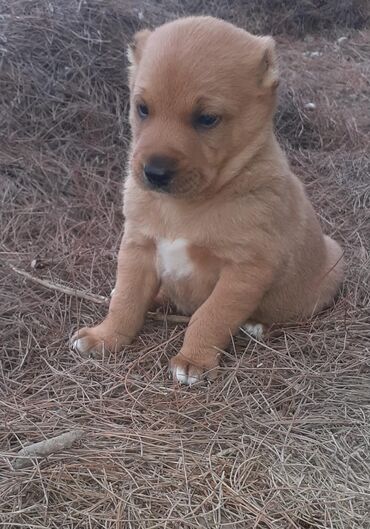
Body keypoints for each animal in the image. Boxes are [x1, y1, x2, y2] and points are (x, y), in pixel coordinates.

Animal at [71, 14, 344, 382]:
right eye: (142, 109)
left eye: (207, 118)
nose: (154, 172)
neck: (184, 206)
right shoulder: (137, 246)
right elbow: (126, 300)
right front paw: (104, 337)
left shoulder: (246, 269)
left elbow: (211, 316)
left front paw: (193, 360)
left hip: (330, 268)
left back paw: (258, 326)